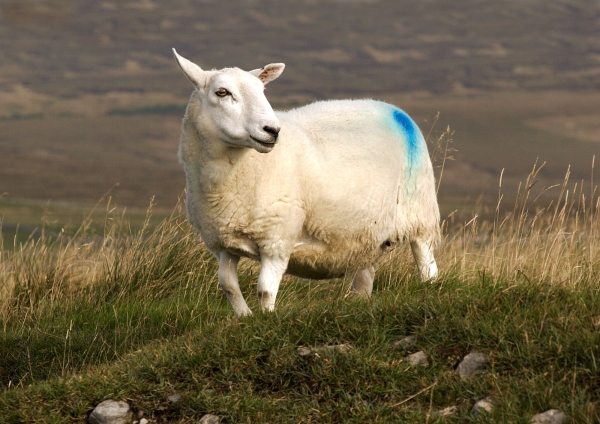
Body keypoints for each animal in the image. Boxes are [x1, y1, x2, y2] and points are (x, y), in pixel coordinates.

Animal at [171, 48, 438, 314]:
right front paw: (244, 317)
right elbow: (228, 286)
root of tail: (394, 110)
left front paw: (267, 318)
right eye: (222, 92)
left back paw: (429, 289)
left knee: (427, 264)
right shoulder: (223, 242)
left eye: (262, 90)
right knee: (364, 277)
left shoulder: (277, 239)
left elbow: (265, 290)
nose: (272, 130)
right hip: (364, 234)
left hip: (420, 213)